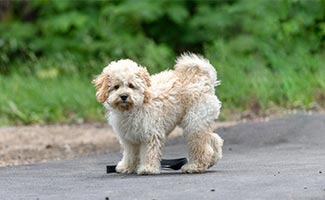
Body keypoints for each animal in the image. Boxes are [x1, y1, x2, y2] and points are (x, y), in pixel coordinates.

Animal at [92, 53, 221, 175]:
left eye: (131, 85)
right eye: (116, 87)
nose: (124, 96)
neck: (135, 106)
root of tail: (204, 79)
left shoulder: (151, 133)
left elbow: (149, 152)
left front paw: (147, 168)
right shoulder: (129, 138)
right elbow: (130, 154)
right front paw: (127, 167)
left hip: (194, 122)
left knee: (202, 146)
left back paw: (194, 166)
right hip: (199, 122)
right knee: (214, 139)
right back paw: (212, 159)